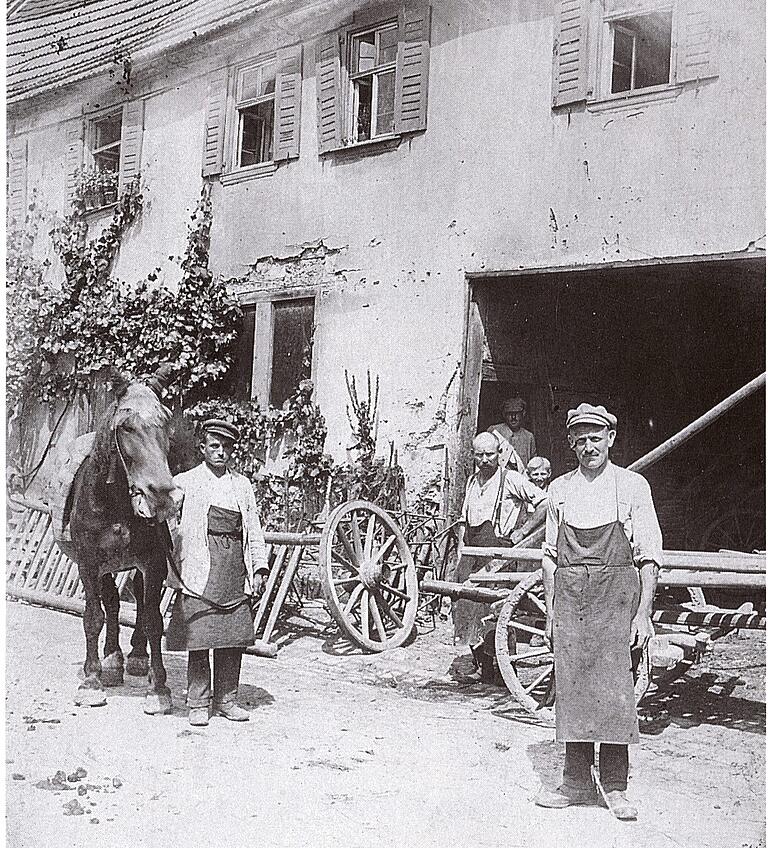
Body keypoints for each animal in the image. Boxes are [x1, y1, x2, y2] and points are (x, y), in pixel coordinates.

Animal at [63, 368, 180, 712]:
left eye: (167, 422)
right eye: (127, 426)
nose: (163, 496)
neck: (115, 503)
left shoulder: (153, 562)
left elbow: (154, 619)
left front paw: (159, 688)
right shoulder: (89, 563)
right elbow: (93, 617)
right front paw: (91, 682)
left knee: (138, 600)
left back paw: (137, 659)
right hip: (104, 566)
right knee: (112, 604)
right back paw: (113, 661)